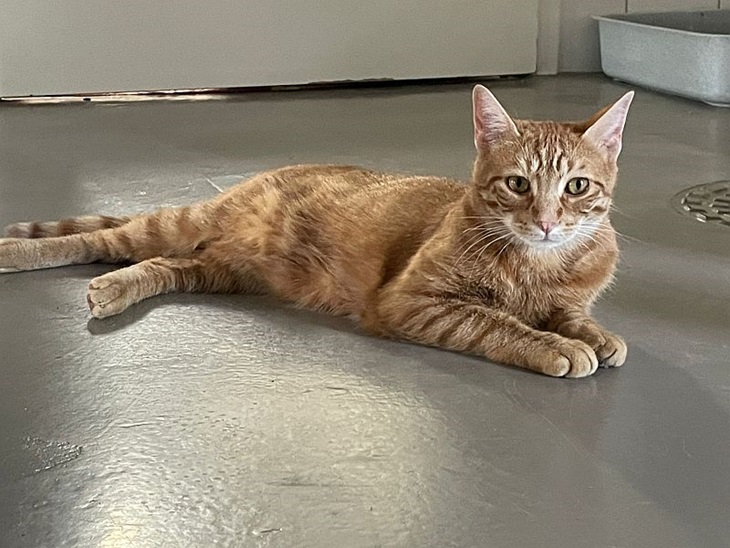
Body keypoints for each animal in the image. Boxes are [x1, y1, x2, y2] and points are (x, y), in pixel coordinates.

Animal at [0, 85, 633, 378]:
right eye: (518, 185)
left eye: (576, 187)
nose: (546, 222)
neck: (539, 265)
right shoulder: (414, 302)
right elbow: (499, 323)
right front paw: (557, 347)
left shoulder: (567, 298)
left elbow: (576, 317)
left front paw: (597, 337)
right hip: (180, 227)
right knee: (99, 240)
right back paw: (16, 252)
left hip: (217, 271)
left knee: (159, 266)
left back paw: (116, 288)